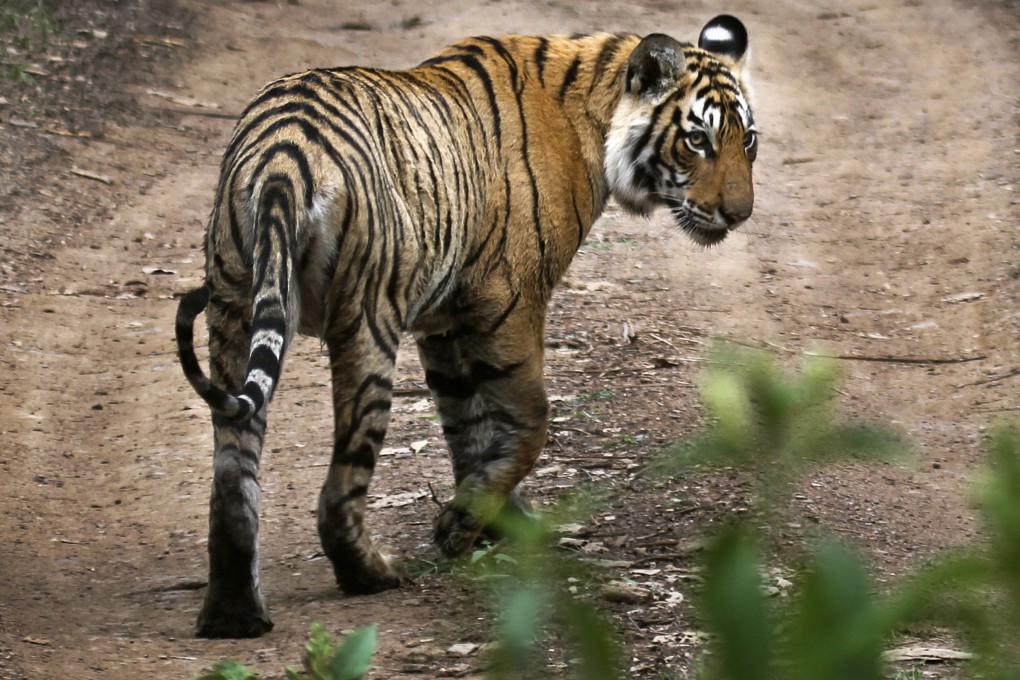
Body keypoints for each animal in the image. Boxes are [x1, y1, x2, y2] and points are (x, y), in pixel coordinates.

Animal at [175, 14, 756, 638]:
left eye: (746, 140)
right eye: (697, 141)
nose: (739, 214)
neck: (596, 108)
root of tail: (282, 159)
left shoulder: (444, 320)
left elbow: (468, 424)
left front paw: (489, 520)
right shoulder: (510, 301)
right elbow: (528, 424)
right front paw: (463, 528)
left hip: (233, 309)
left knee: (232, 473)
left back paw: (233, 614)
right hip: (366, 322)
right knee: (339, 485)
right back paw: (371, 574)